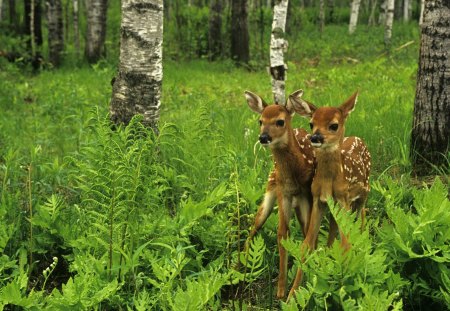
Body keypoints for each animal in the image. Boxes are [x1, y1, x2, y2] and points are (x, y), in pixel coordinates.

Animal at [244, 90, 314, 300]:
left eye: (280, 121)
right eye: (260, 120)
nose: (263, 137)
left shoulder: (307, 195)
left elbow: (306, 238)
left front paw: (295, 290)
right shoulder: (284, 192)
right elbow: (282, 232)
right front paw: (281, 290)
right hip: (271, 188)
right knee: (255, 224)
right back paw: (238, 266)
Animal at [286, 91, 370, 302]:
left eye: (333, 125)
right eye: (311, 123)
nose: (315, 137)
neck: (329, 182)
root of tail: (358, 138)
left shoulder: (344, 199)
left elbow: (346, 243)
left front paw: (347, 288)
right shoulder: (319, 200)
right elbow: (307, 245)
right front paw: (292, 294)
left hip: (364, 192)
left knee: (362, 214)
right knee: (334, 229)